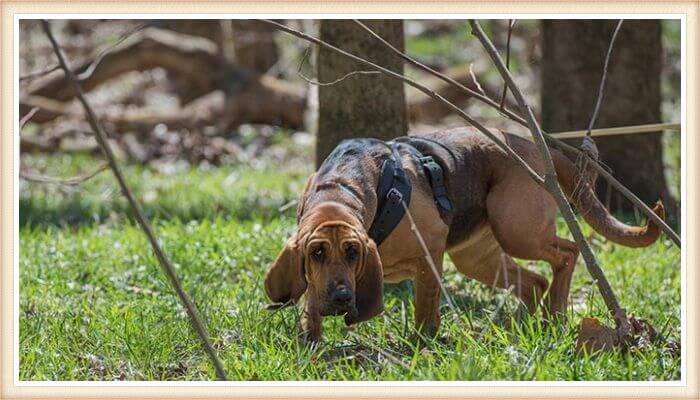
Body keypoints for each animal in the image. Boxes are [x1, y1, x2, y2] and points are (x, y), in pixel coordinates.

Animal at [262, 126, 660, 342]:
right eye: (316, 254)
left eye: (353, 252)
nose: (343, 298)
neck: (342, 187)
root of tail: (532, 146)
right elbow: (310, 308)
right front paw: (311, 342)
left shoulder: (429, 257)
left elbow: (425, 310)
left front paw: (421, 345)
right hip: (476, 258)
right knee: (533, 282)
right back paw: (527, 325)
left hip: (517, 230)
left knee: (567, 253)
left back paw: (556, 313)